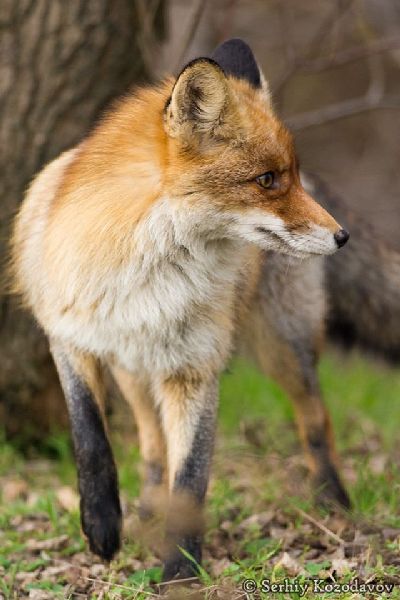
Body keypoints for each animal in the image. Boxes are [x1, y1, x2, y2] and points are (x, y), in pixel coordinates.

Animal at [10, 38, 350, 580]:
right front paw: (102, 525)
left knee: (316, 418)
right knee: (151, 444)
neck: (143, 279)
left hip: (283, 346)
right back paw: (146, 509)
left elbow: (190, 478)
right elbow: (90, 438)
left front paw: (182, 570)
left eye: (291, 177)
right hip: (132, 369)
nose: (342, 236)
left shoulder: (195, 368)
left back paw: (333, 500)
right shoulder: (68, 336)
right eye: (267, 179)